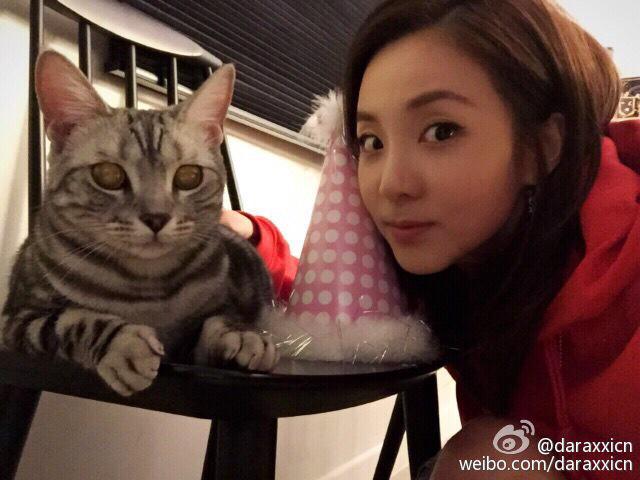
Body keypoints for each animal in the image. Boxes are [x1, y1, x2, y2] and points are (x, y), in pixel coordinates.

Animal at [0, 50, 279, 396]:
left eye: (189, 176)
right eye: (108, 175)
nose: (156, 217)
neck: (148, 288)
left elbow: (217, 319)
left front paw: (241, 334)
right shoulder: (17, 321)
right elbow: (71, 319)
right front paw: (123, 345)